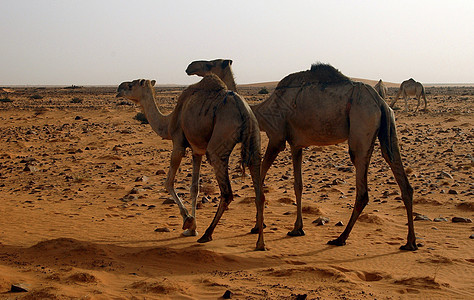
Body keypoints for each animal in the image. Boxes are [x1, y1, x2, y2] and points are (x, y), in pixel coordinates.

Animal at [115, 75, 266, 251]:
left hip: (219, 142)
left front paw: (188, 220)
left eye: (131, 85)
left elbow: (168, 182)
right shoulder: (197, 150)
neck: (168, 122)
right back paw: (260, 243)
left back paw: (207, 235)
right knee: (259, 191)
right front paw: (192, 228)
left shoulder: (178, 143)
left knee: (227, 192)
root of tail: (243, 110)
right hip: (254, 138)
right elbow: (194, 188)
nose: (119, 88)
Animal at [187, 59, 416, 251]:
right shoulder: (296, 144)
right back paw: (410, 242)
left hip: (361, 126)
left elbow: (262, 176)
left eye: (211, 64)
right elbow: (298, 185)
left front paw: (257, 226)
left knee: (362, 188)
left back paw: (340, 238)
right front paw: (297, 228)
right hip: (388, 129)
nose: (190, 67)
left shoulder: (277, 138)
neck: (263, 111)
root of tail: (380, 102)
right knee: (401, 177)